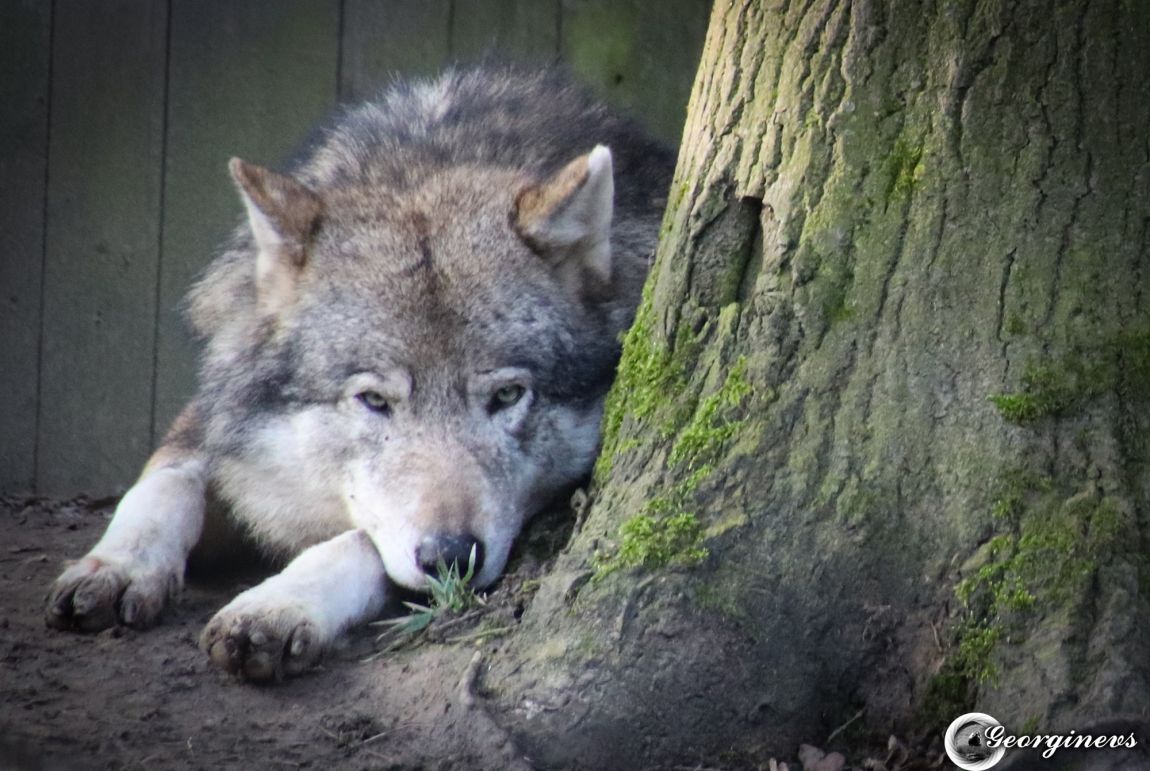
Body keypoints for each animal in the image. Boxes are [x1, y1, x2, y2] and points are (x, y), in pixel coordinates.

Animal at [44, 66, 674, 681]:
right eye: (374, 401)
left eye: (508, 395)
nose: (450, 556)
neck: (437, 155)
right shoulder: (216, 416)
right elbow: (165, 479)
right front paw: (117, 565)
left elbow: (362, 543)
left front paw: (275, 605)